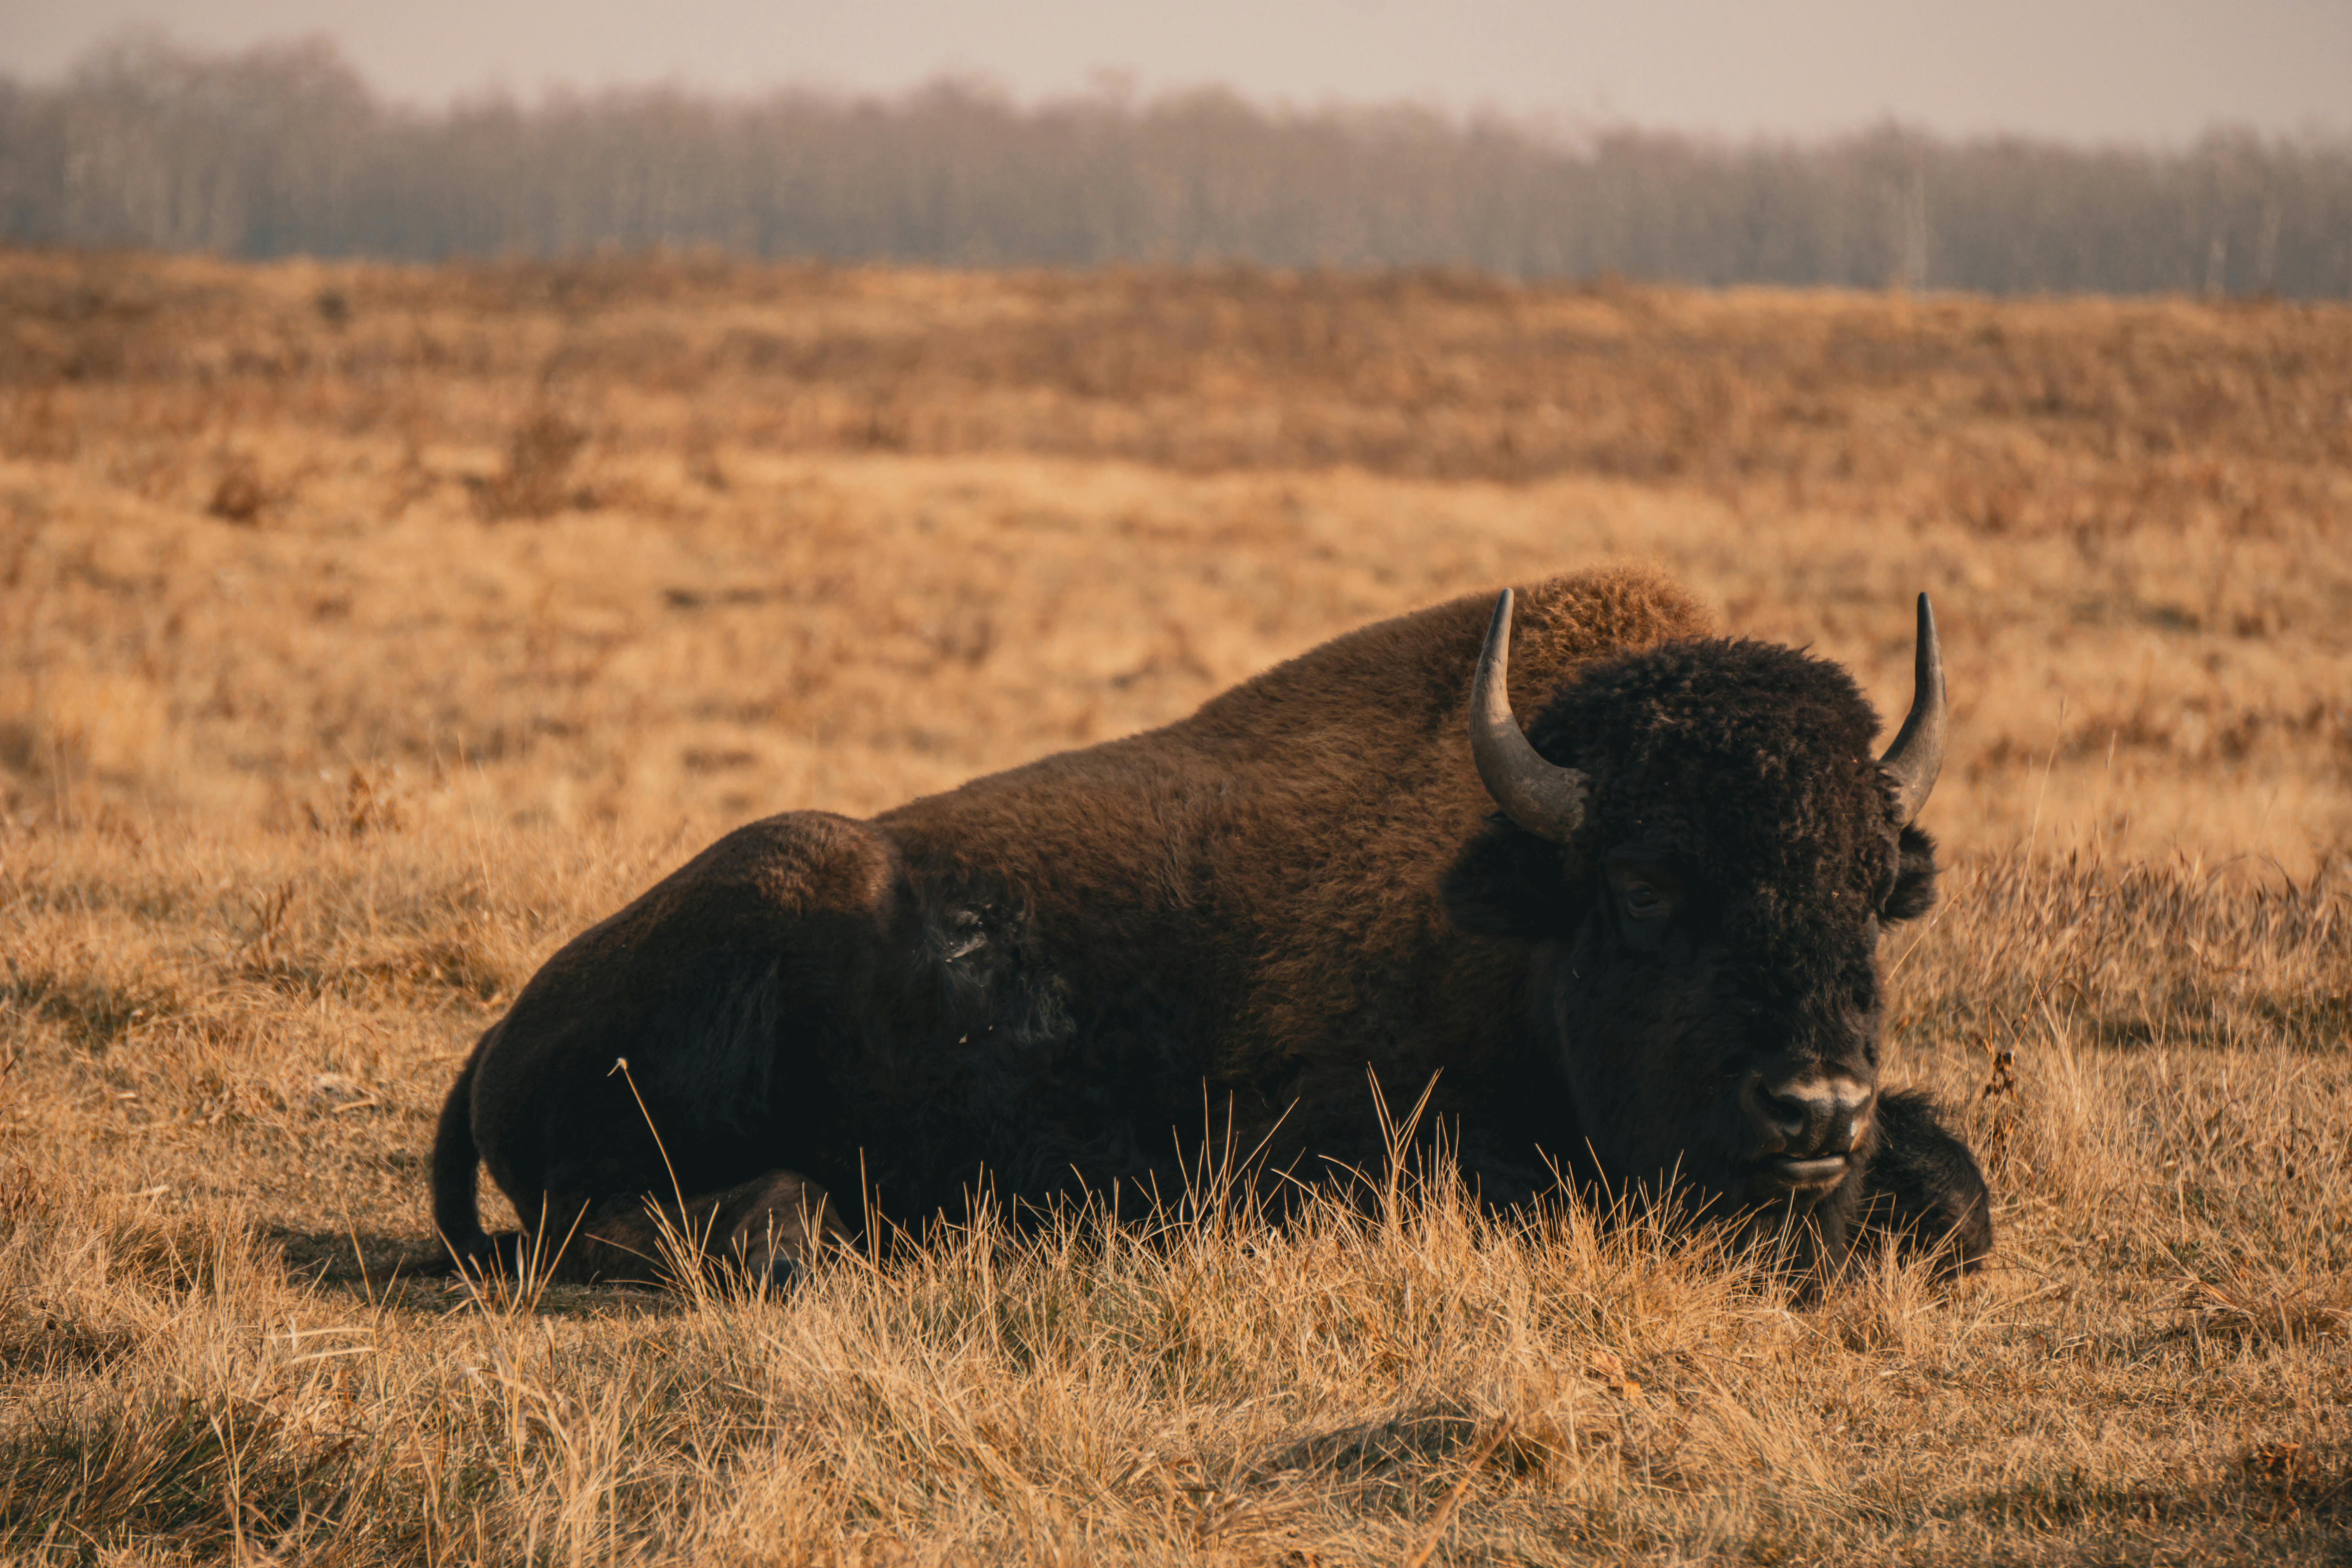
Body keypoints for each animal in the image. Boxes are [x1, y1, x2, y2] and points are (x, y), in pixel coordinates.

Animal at [431, 568, 1990, 1286]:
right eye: (1648, 884)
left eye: (1871, 886)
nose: (1814, 1109)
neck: (1513, 900)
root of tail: (504, 1028)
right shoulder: (1307, 1152)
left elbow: (1961, 1189)